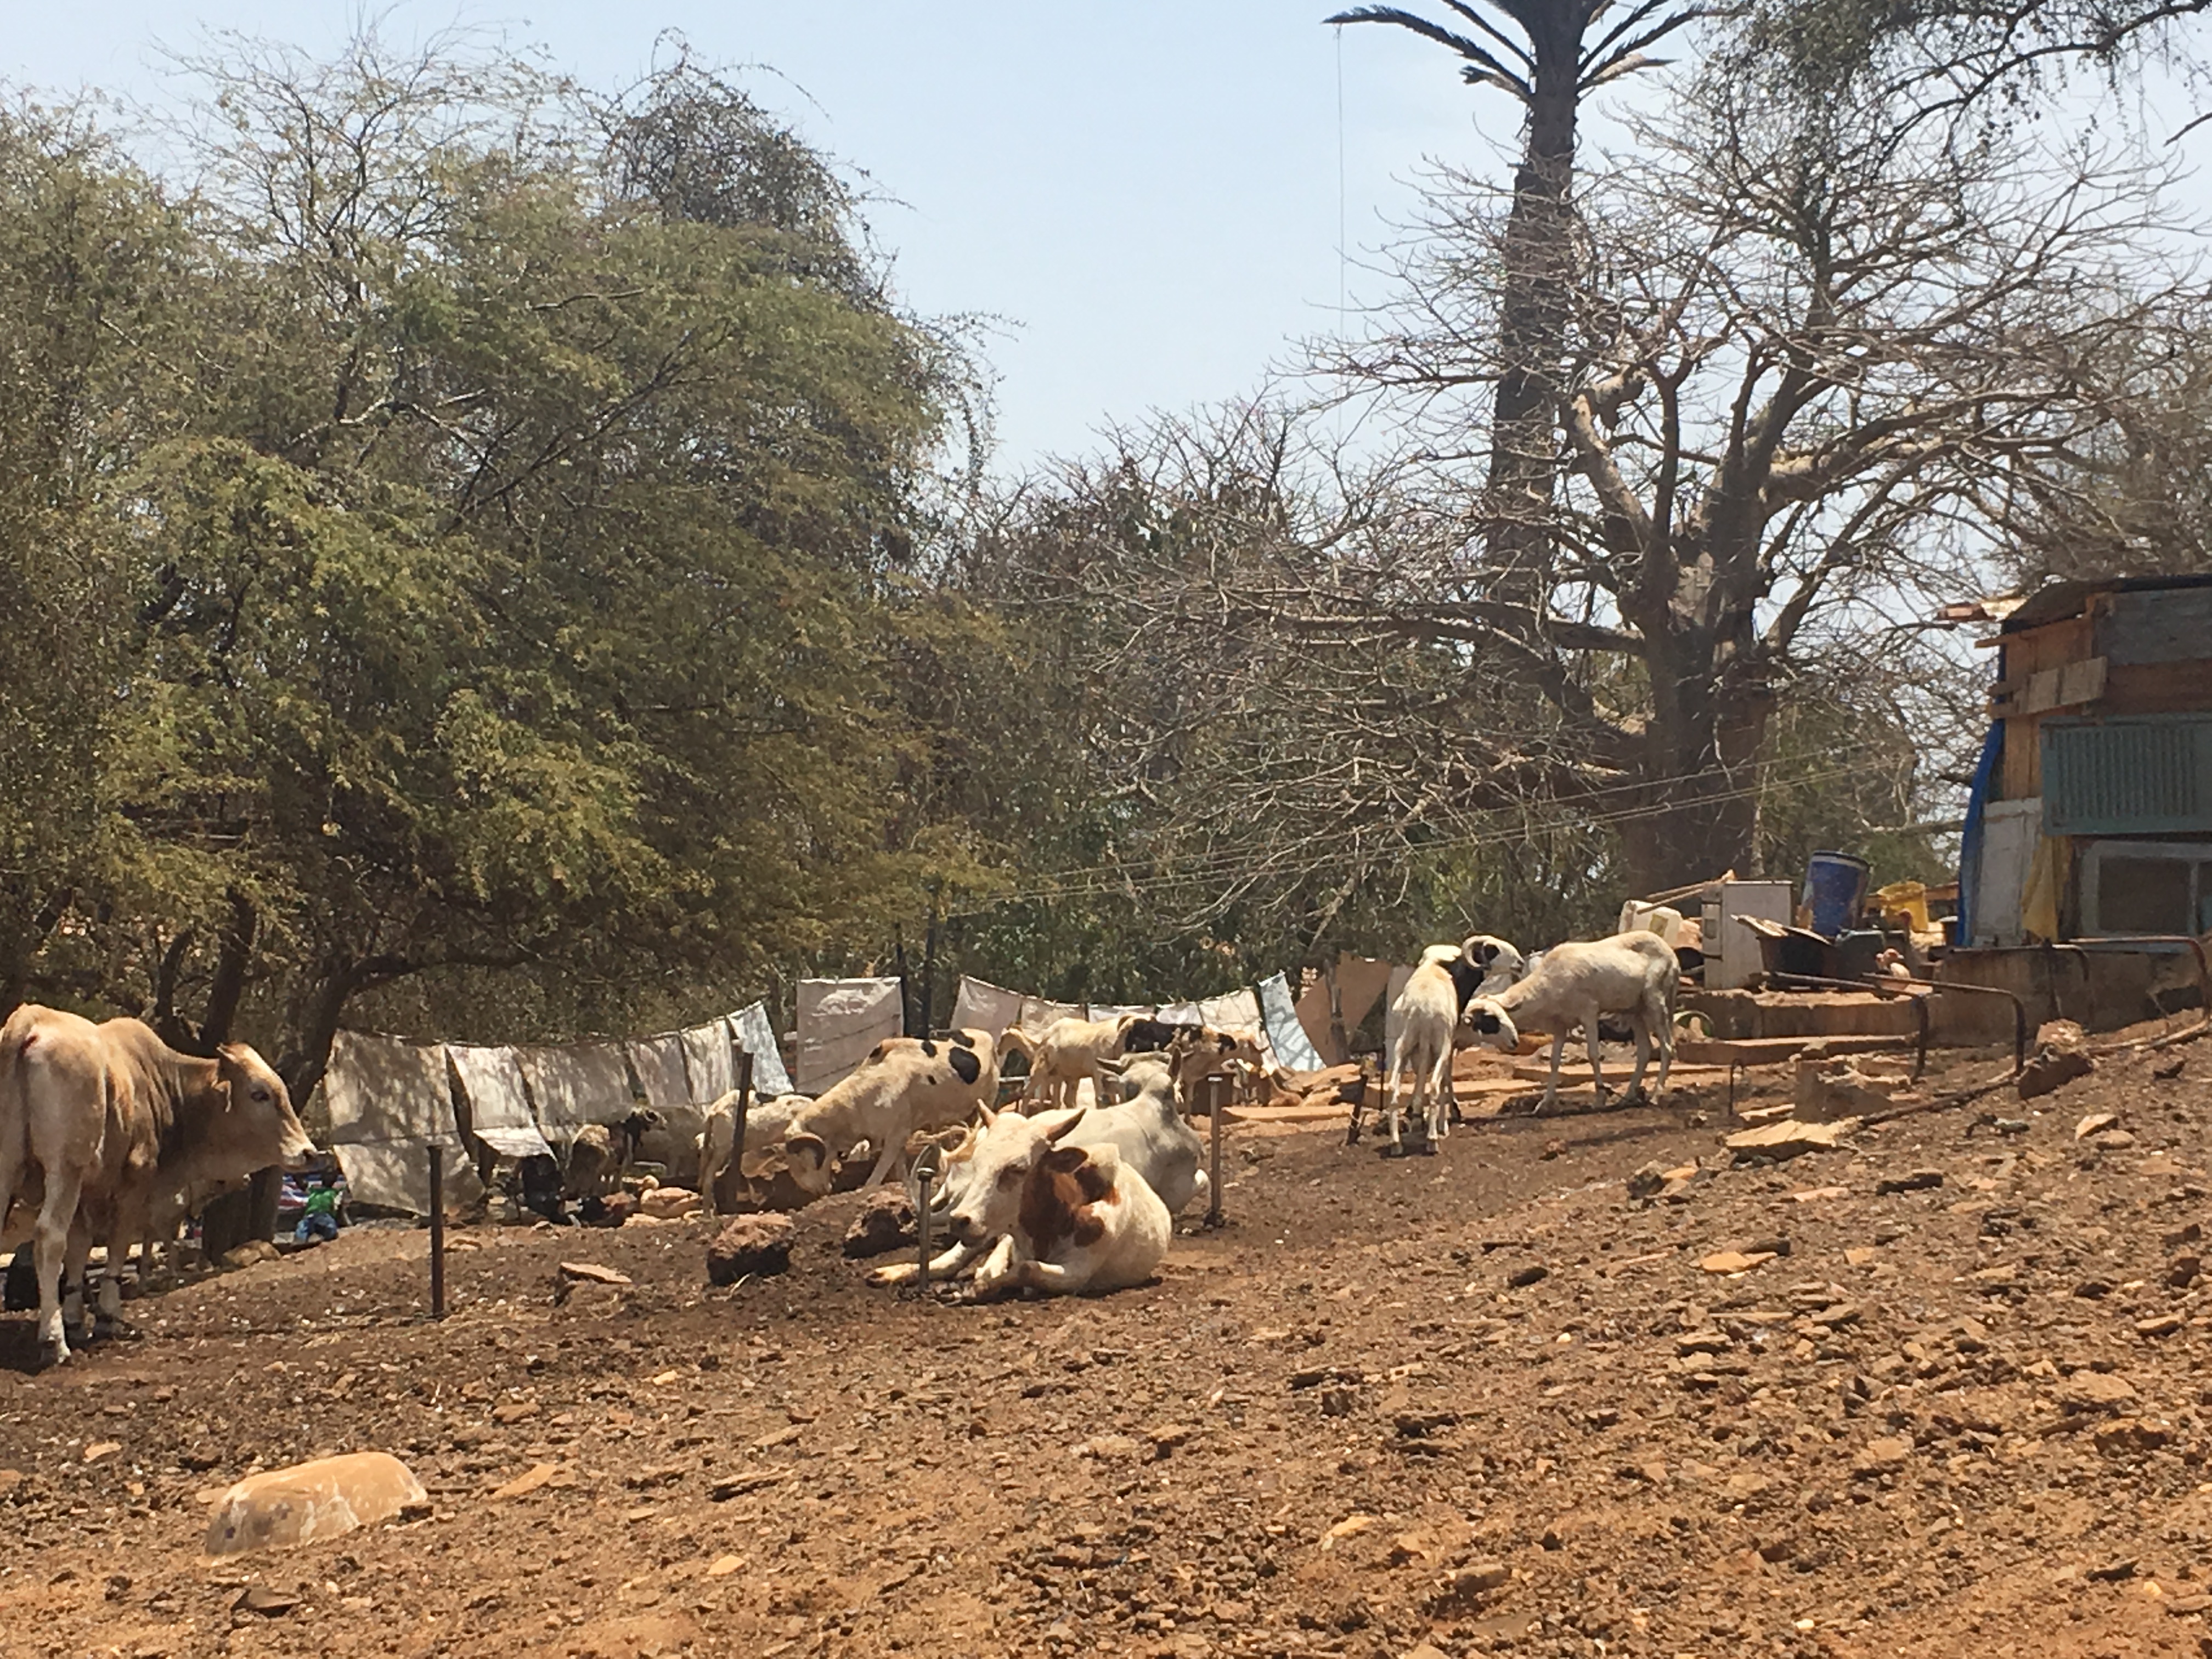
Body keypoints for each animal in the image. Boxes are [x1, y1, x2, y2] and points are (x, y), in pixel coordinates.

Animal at [0, 1008, 316, 1371]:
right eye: (259, 1093)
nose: (309, 1153)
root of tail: (30, 1019)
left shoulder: (86, 1193)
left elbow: (79, 1251)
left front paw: (76, 1321)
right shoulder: (133, 1180)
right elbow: (117, 1245)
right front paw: (106, 1317)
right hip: (65, 1166)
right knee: (49, 1238)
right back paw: (53, 1341)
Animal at [1469, 929, 1672, 1110]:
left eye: (1491, 1018)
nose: (1513, 1042)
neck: (1546, 984)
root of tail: (1668, 949)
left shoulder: (1589, 1014)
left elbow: (1593, 1056)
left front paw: (1600, 1100)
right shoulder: (1560, 1027)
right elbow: (1554, 1062)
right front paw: (1544, 1104)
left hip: (1656, 1002)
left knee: (1667, 1047)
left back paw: (1656, 1096)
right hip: (1634, 1011)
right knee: (1645, 1051)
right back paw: (1628, 1097)